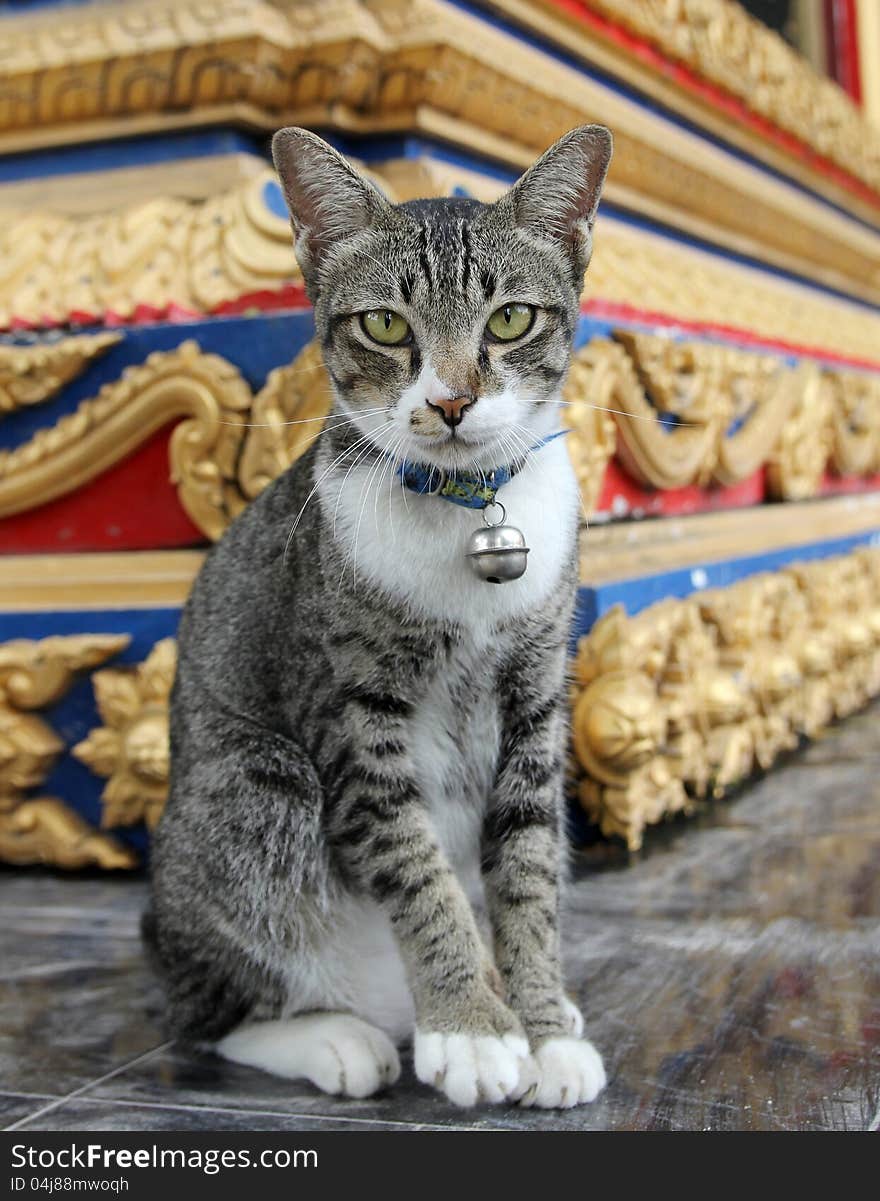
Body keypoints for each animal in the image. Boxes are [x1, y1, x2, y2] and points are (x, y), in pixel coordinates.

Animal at [144, 121, 609, 1104]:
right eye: (386, 325)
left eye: (509, 319)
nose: (451, 399)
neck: (466, 509)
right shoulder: (352, 709)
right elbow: (414, 864)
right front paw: (472, 1026)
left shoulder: (537, 696)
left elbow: (529, 871)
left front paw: (541, 1023)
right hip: (252, 786)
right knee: (213, 1010)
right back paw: (337, 1035)